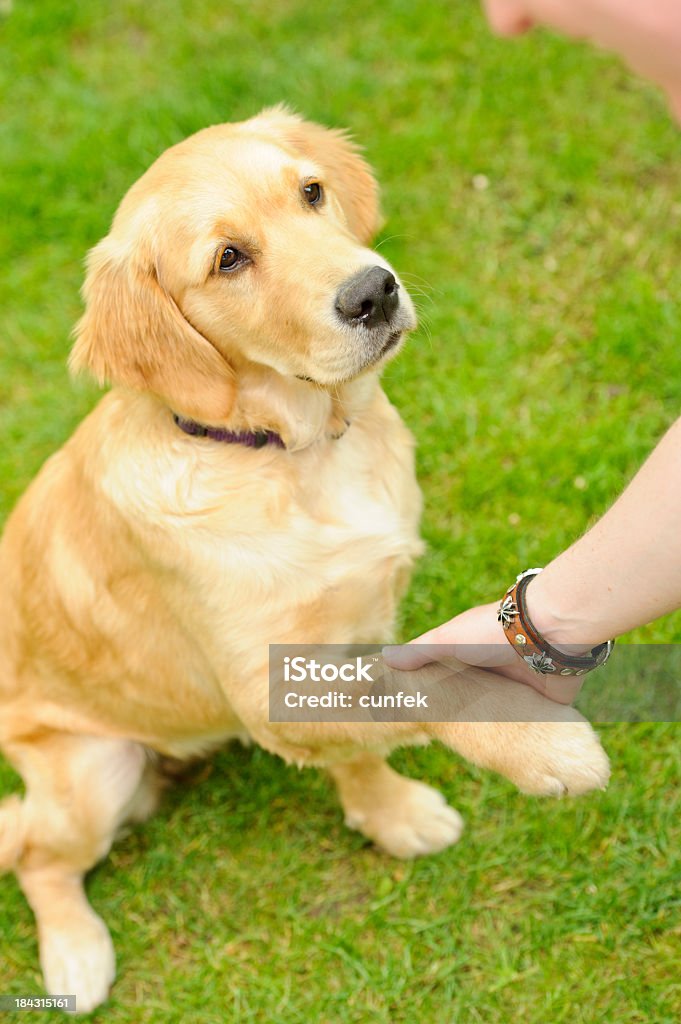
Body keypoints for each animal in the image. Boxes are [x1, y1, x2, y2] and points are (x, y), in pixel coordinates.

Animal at [0, 108, 606, 1011]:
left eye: (310, 193)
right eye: (228, 258)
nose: (372, 292)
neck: (290, 451)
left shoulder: (360, 622)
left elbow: (365, 737)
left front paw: (390, 814)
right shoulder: (272, 687)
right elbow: (420, 693)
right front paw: (537, 746)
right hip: (92, 770)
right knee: (37, 859)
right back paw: (76, 955)